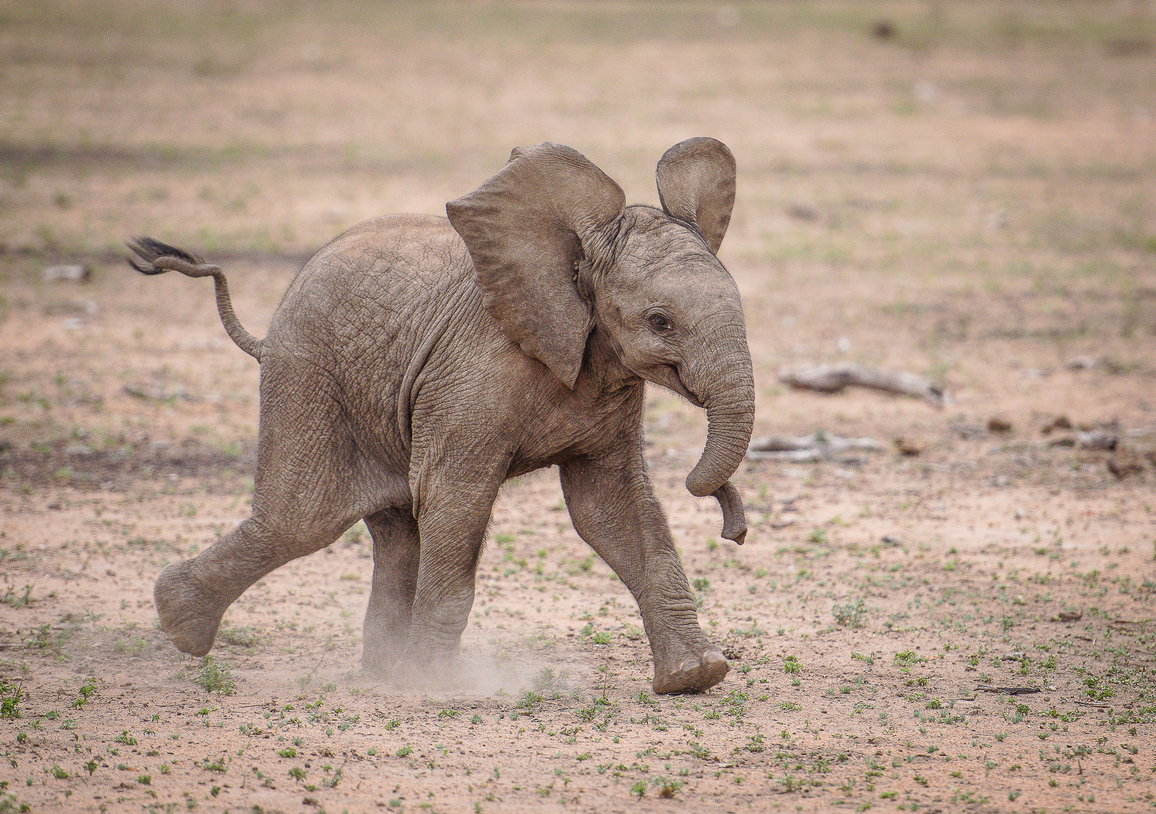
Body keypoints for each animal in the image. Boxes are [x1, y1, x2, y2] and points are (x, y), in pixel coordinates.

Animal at [131, 138, 753, 693]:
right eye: (660, 321)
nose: (735, 529)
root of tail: (265, 334)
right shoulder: (470, 376)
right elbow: (457, 496)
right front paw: (436, 686)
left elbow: (613, 508)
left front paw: (695, 677)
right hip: (308, 375)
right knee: (300, 520)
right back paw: (181, 623)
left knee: (394, 528)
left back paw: (381, 675)